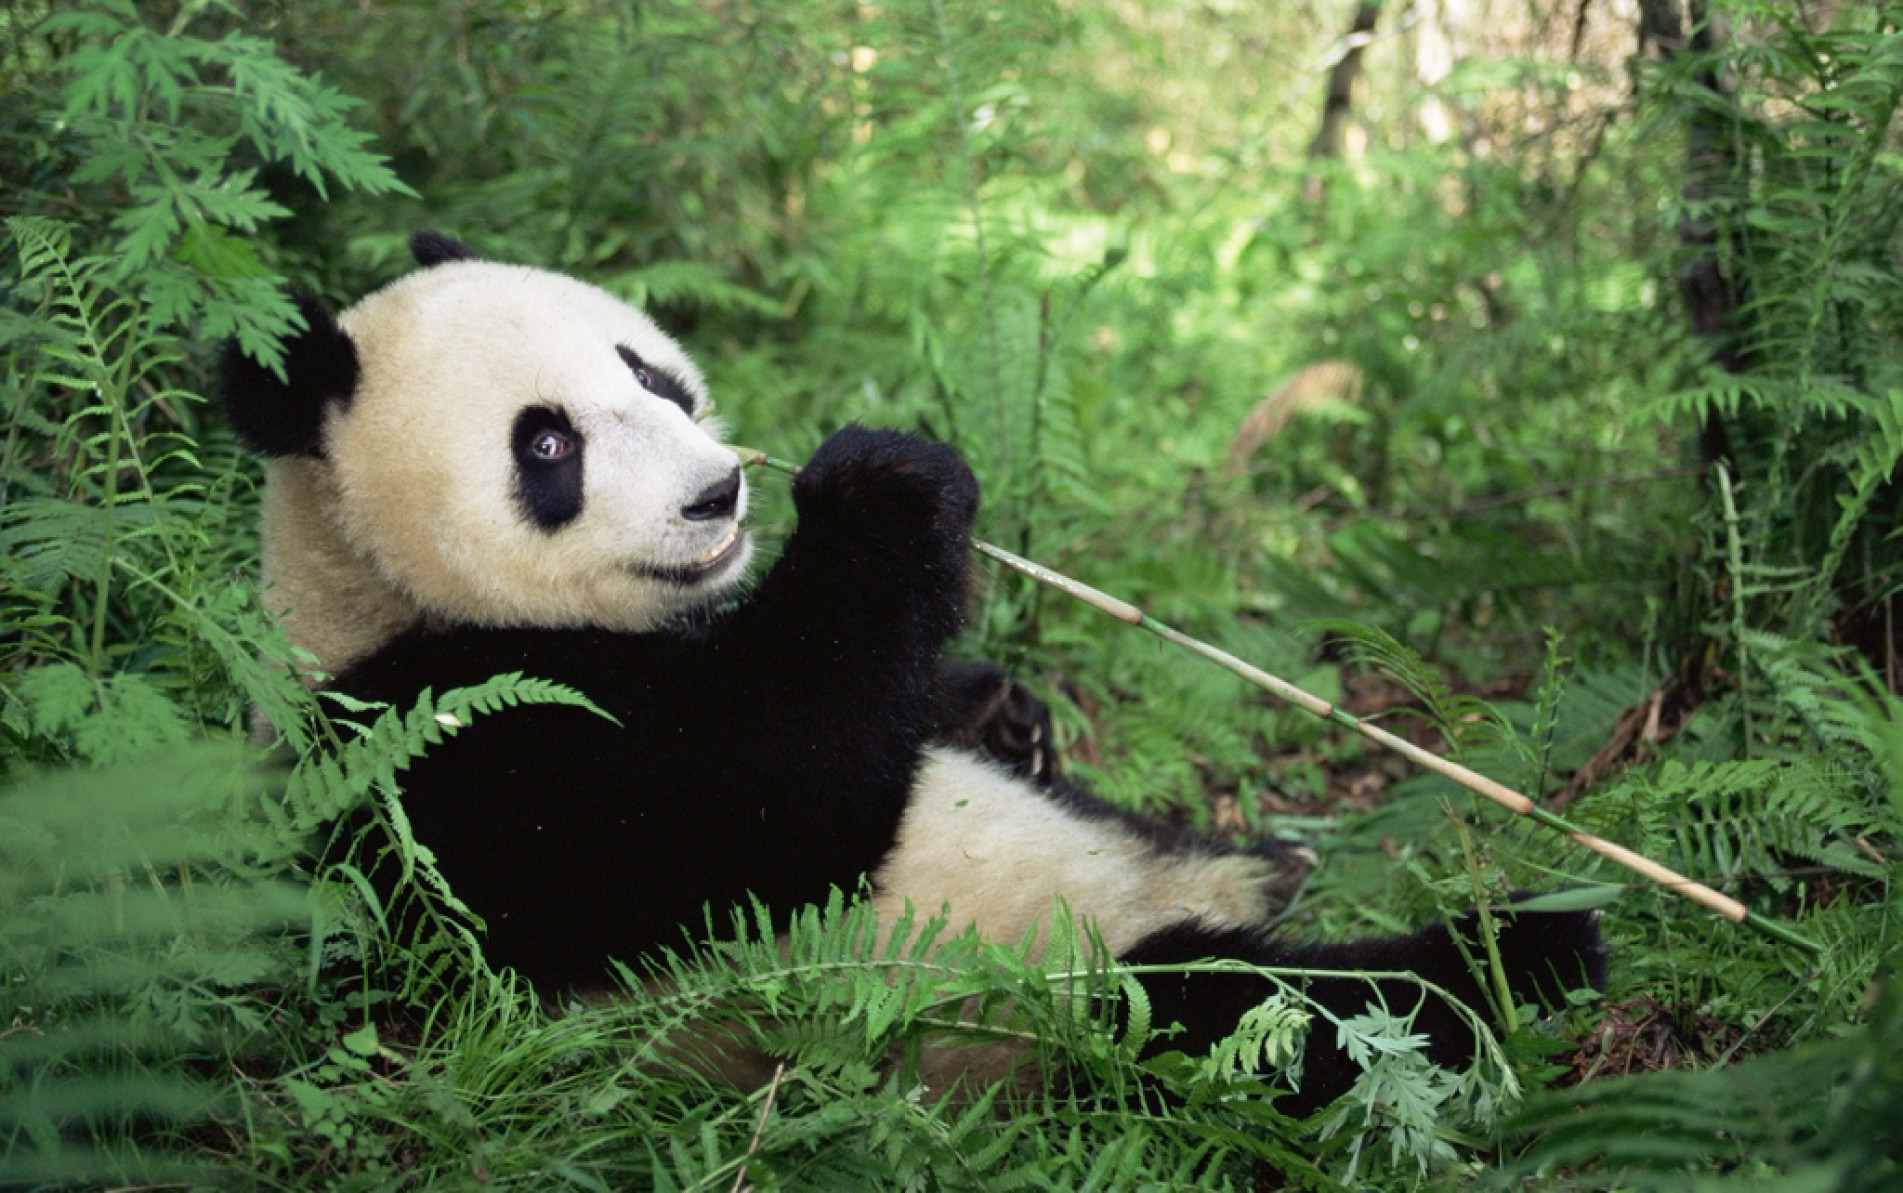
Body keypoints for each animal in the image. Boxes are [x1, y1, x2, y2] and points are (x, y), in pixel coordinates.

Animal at [222, 232, 1604, 1115]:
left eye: (650, 372)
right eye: (547, 444)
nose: (719, 493)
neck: (369, 588)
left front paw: (1001, 706)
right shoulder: (440, 747)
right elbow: (763, 809)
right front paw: (886, 489)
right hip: (1036, 1002)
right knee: (1258, 1011)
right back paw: (1520, 953)